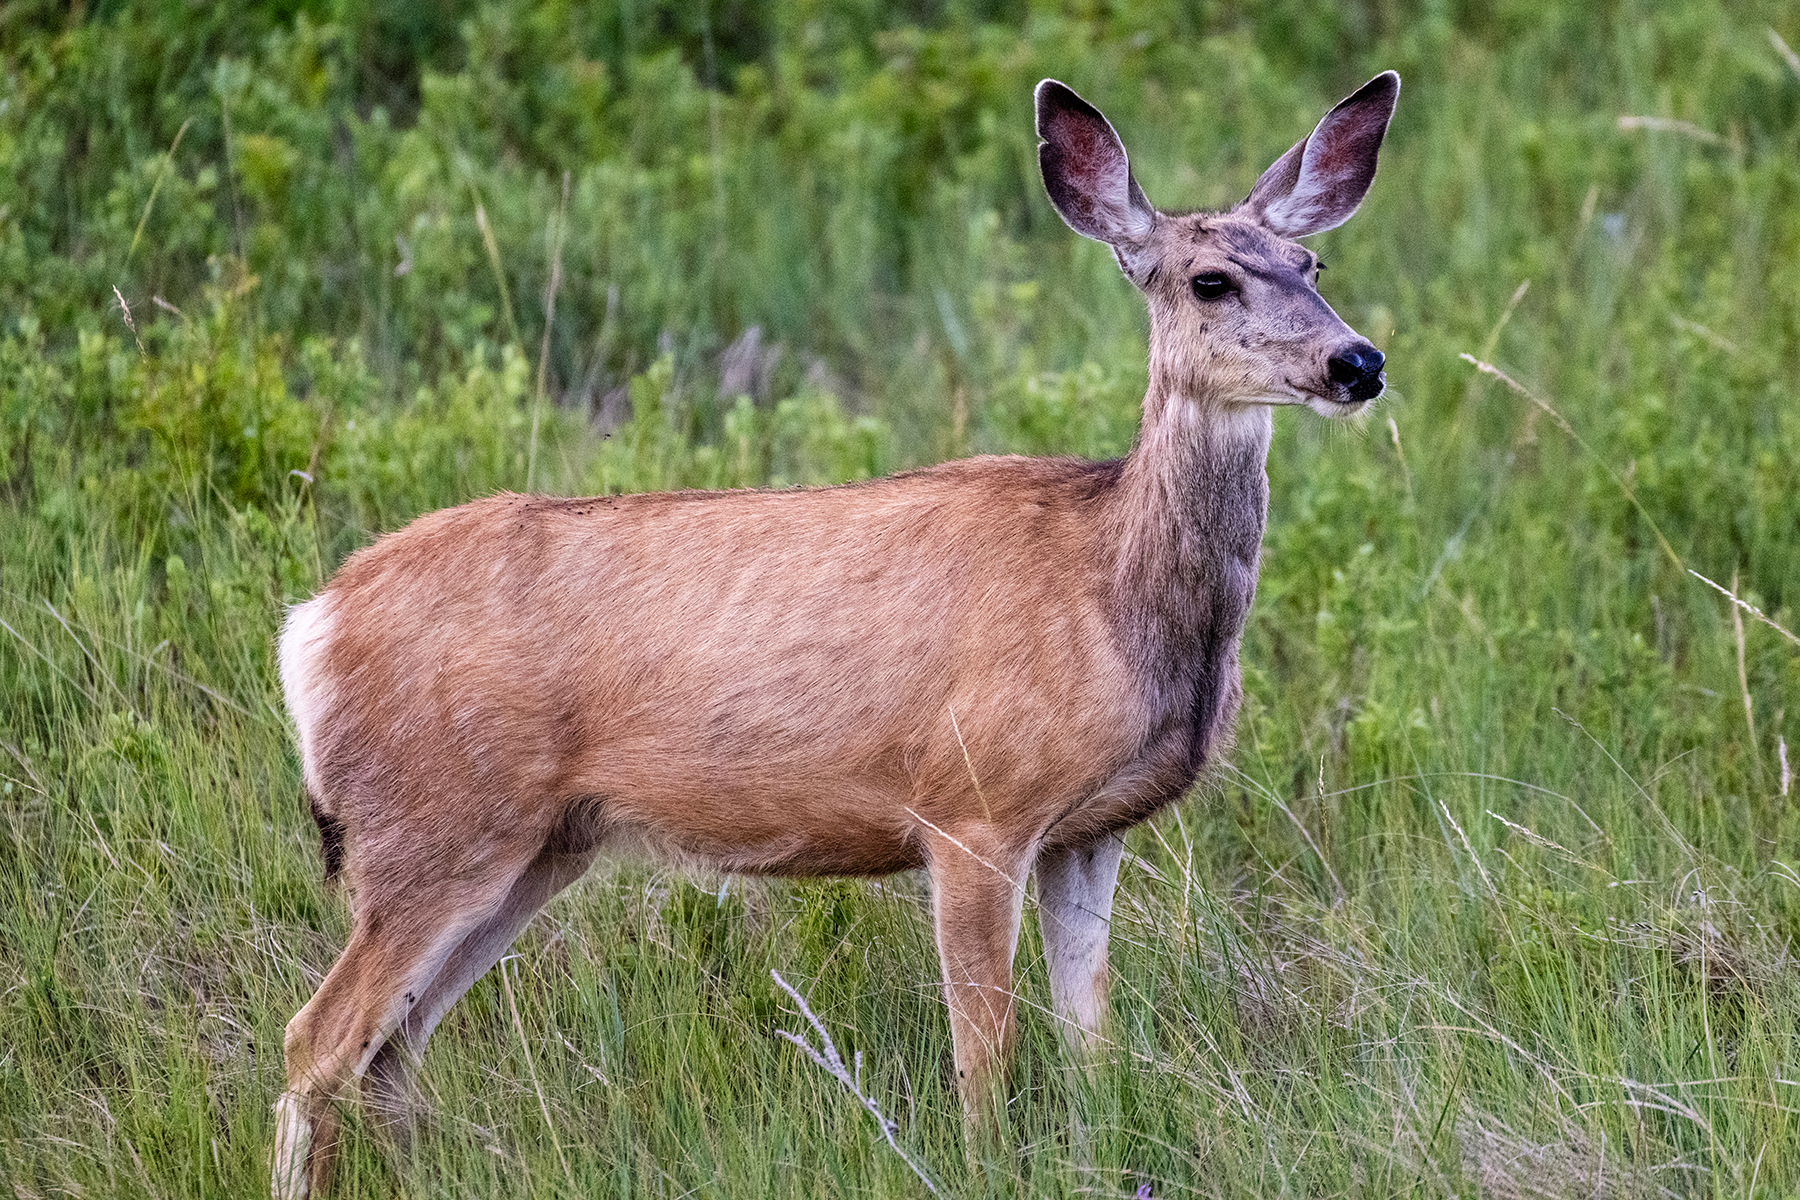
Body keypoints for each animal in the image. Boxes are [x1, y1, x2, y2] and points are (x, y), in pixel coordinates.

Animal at [266, 70, 1396, 1194]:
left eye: (1312, 262)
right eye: (1210, 280)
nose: (1358, 360)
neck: (1113, 588)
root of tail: (311, 625)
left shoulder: (1092, 829)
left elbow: (1091, 1043)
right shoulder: (973, 803)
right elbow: (985, 1050)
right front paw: (985, 1164)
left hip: (535, 843)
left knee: (390, 1053)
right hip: (434, 823)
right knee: (316, 1042)